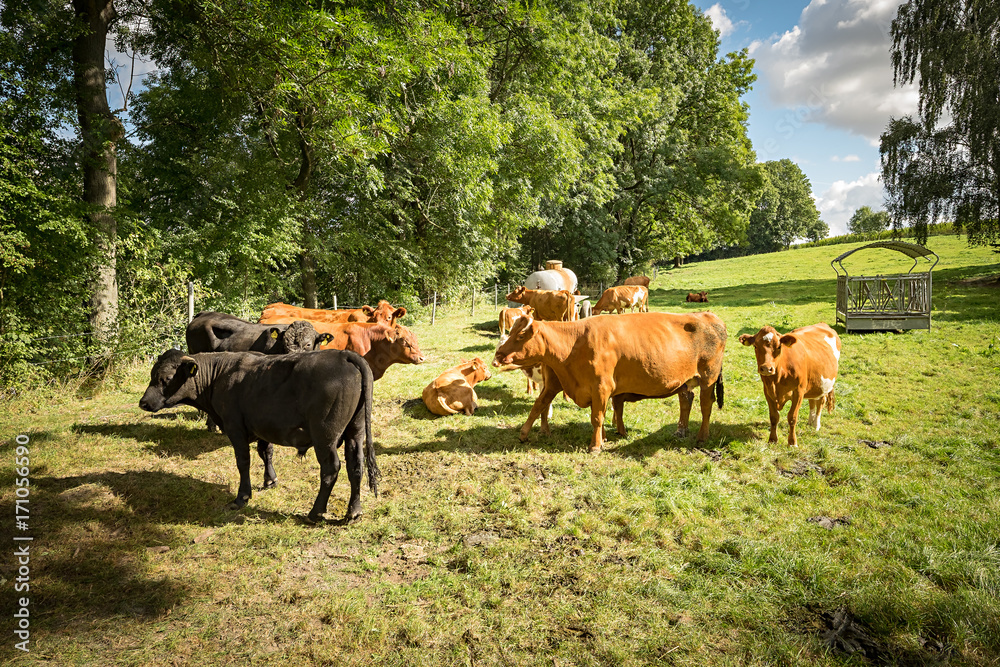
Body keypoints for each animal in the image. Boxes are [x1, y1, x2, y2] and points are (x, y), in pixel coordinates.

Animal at [137, 348, 378, 524]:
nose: (143, 403)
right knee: (356, 466)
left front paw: (242, 496)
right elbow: (266, 452)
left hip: (325, 436)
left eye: (167, 377)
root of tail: (344, 354)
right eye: (152, 374)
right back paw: (354, 511)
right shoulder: (264, 426)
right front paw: (270, 479)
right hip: (355, 431)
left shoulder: (235, 427)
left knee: (330, 469)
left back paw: (315, 513)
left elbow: (243, 462)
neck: (219, 374)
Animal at [492, 314, 728, 454]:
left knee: (705, 406)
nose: (498, 355)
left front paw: (596, 445)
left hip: (708, 378)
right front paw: (523, 434)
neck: (575, 343)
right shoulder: (557, 384)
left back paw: (701, 437)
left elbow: (597, 417)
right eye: (511, 332)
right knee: (686, 400)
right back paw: (681, 431)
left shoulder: (601, 387)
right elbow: (538, 406)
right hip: (684, 381)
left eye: (521, 335)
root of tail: (709, 316)